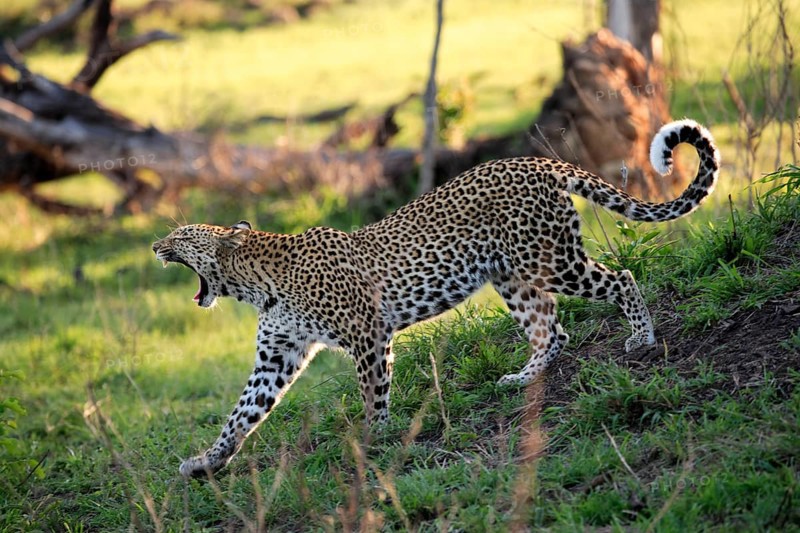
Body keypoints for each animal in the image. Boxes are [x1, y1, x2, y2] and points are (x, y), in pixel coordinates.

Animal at [152, 119, 720, 478]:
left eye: (180, 235)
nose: (156, 246)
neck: (256, 284)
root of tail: (538, 162)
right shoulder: (278, 355)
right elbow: (242, 413)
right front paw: (207, 462)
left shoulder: (367, 334)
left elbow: (373, 391)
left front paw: (375, 440)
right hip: (513, 277)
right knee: (551, 329)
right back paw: (522, 378)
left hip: (552, 260)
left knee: (620, 277)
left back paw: (641, 336)